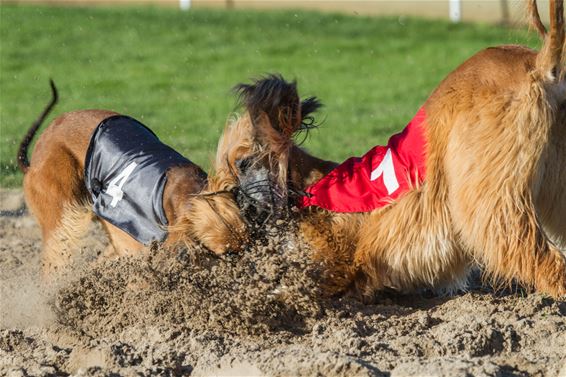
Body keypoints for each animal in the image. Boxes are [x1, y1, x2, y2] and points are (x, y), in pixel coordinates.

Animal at [241, 1, 566, 298]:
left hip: (490, 198)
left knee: (543, 260)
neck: (310, 186)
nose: (241, 206)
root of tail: (539, 65)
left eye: (243, 164)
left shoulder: (337, 261)